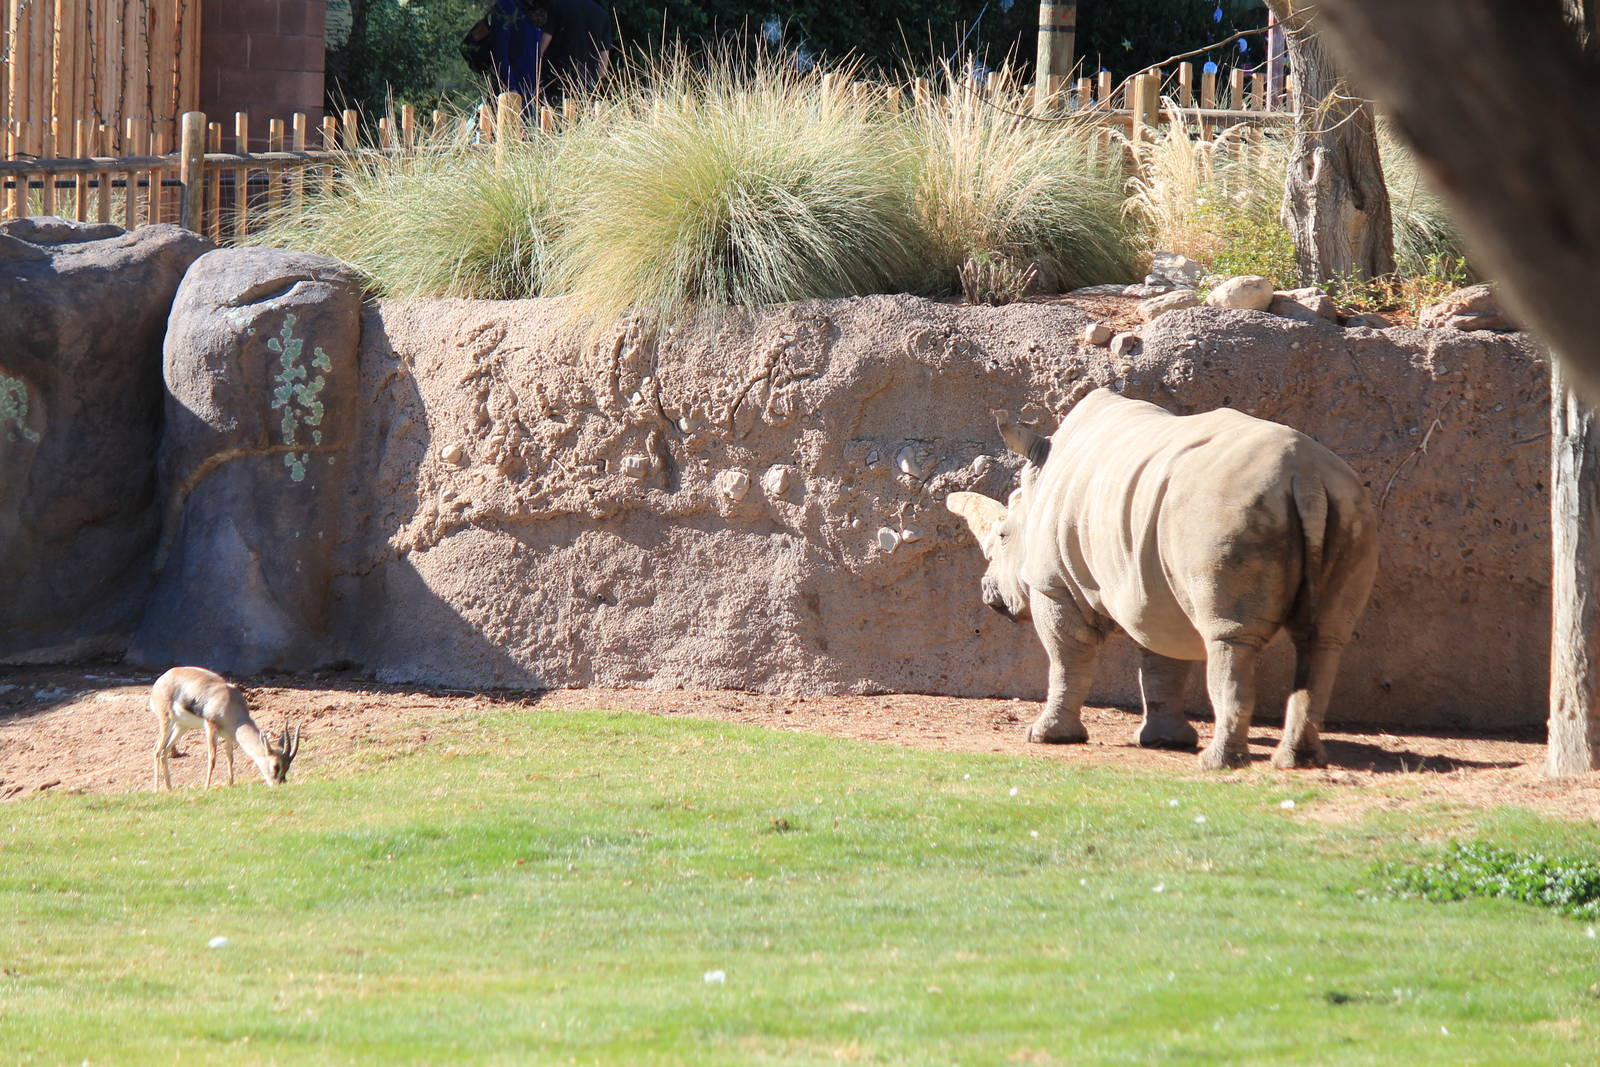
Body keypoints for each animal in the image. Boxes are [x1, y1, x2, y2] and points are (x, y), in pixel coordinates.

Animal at [149, 667, 301, 791]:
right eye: (276, 766)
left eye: (287, 766)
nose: (279, 783)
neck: (230, 703)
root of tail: (162, 679)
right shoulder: (211, 727)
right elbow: (212, 758)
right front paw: (206, 787)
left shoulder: (228, 735)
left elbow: (230, 758)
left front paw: (230, 784)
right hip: (166, 721)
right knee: (157, 750)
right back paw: (156, 790)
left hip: (182, 727)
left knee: (164, 751)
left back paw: (169, 789)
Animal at [947, 389, 1378, 770]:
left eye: (1002, 536)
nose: (987, 593)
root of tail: (1305, 477)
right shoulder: (1154, 585)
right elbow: (1162, 663)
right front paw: (1165, 741)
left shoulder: (1054, 585)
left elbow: (1066, 659)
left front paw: (1047, 736)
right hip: (1349, 504)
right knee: (1324, 637)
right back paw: (1297, 761)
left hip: (1233, 509)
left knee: (1229, 635)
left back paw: (1218, 763)